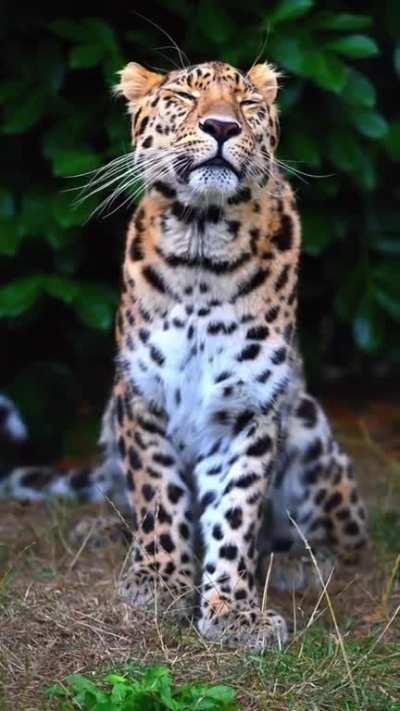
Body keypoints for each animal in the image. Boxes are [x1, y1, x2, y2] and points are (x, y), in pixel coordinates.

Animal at [1, 59, 368, 650]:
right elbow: (157, 493)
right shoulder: (141, 397)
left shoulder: (247, 408)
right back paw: (105, 530)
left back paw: (304, 560)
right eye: (183, 96)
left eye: (248, 104)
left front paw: (234, 610)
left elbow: (236, 509)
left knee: (351, 535)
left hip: (308, 420)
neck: (201, 245)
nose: (222, 126)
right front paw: (158, 580)